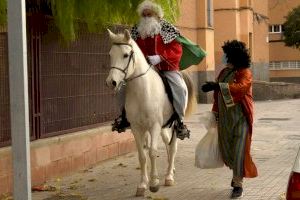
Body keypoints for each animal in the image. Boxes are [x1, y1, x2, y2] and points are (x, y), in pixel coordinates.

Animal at [105, 28, 197, 196]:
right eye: (110, 54)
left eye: (126, 55)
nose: (112, 82)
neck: (142, 90)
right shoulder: (136, 127)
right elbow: (142, 155)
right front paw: (142, 185)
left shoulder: (154, 125)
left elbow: (153, 152)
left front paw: (154, 183)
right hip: (163, 126)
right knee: (167, 144)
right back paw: (171, 169)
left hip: (173, 124)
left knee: (173, 147)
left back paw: (169, 176)